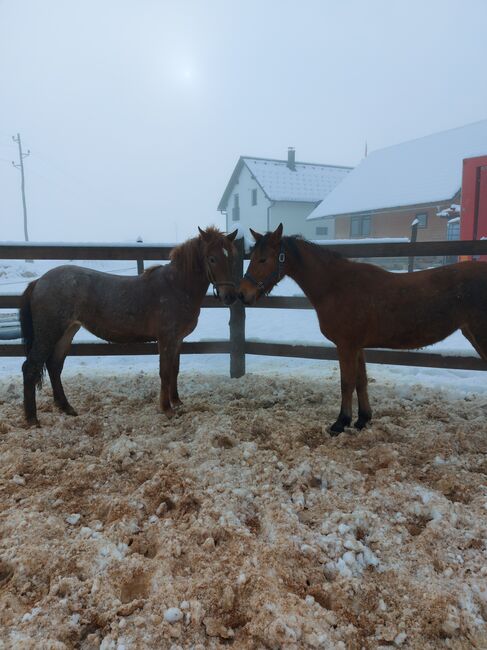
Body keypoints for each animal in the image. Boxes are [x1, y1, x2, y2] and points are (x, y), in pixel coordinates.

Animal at [21, 227, 238, 426]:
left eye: (231, 257)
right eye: (212, 258)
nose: (230, 297)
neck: (176, 286)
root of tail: (39, 281)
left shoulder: (178, 340)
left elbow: (174, 370)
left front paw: (177, 402)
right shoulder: (166, 339)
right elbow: (165, 372)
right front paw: (166, 408)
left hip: (67, 331)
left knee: (54, 366)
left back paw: (66, 408)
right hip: (48, 332)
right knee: (31, 367)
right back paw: (32, 419)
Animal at [239, 223, 487, 436]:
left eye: (263, 259)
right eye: (252, 257)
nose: (243, 294)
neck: (336, 286)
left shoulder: (346, 345)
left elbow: (346, 383)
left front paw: (340, 423)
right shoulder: (357, 346)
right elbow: (361, 381)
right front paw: (362, 419)